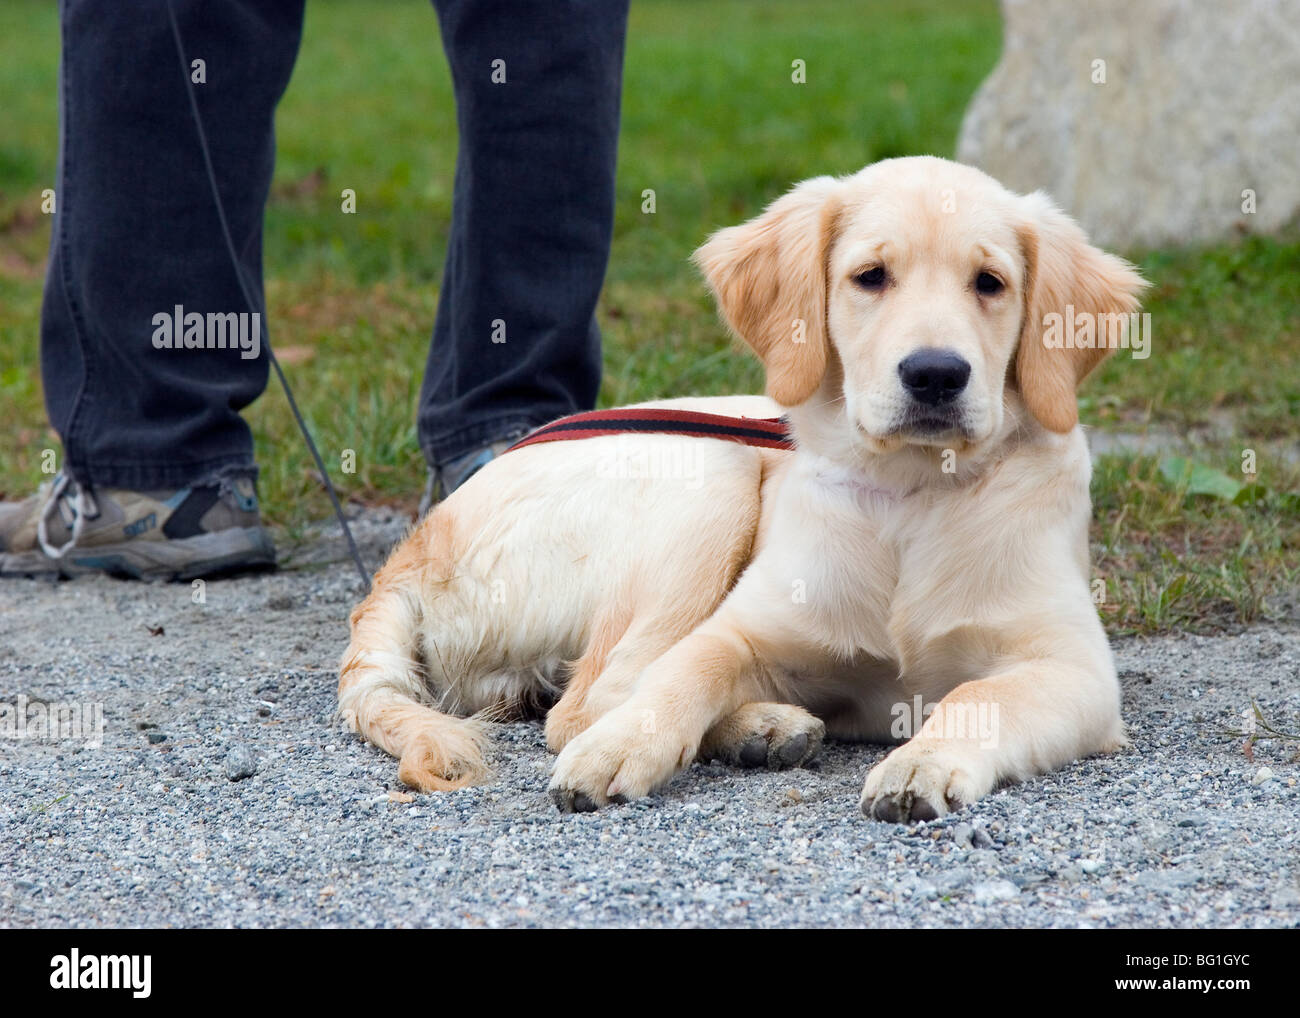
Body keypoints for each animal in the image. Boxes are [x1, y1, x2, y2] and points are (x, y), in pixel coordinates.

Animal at [338, 157, 1149, 821]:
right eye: (870, 276)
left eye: (990, 284)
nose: (936, 374)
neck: (909, 494)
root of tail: (408, 552)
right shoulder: (748, 623)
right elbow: (686, 667)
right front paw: (625, 746)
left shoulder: (1073, 668)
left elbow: (980, 694)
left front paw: (920, 761)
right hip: (710, 476)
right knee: (592, 697)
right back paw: (758, 724)